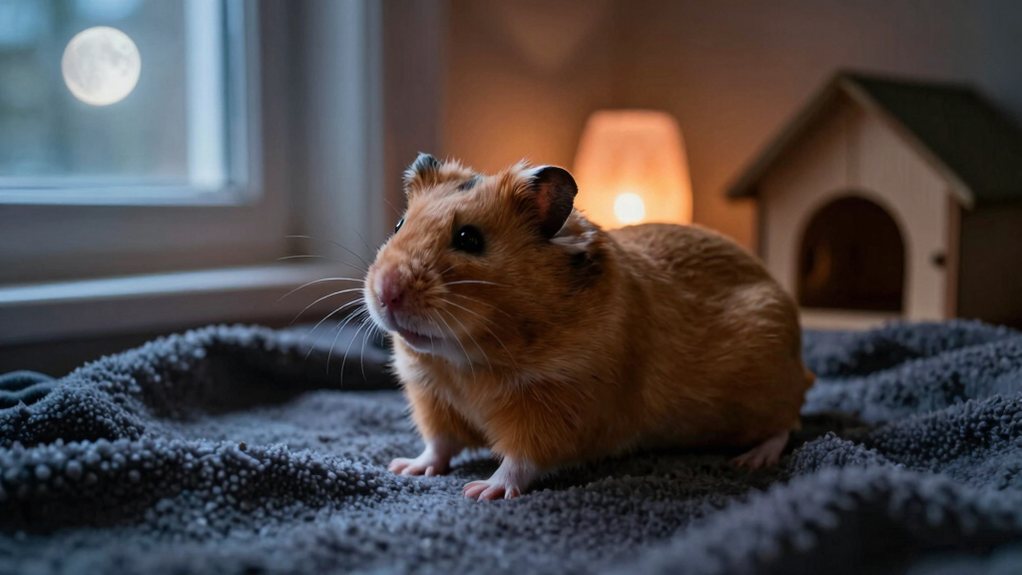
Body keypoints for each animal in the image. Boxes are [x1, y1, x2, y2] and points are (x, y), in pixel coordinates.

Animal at [364, 153, 814, 500]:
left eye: (469, 238)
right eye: (400, 225)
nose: (385, 293)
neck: (467, 358)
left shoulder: (559, 406)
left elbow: (521, 459)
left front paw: (481, 491)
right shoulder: (433, 397)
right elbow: (438, 444)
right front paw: (405, 468)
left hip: (767, 387)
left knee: (787, 423)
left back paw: (751, 460)